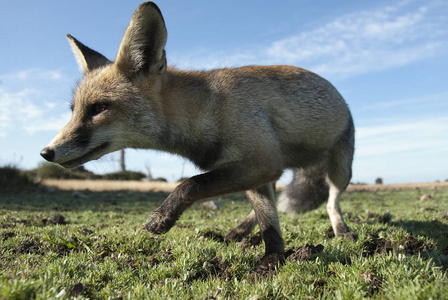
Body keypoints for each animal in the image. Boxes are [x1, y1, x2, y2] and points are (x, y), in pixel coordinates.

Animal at [41, 1, 354, 266]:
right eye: (74, 110)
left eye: (99, 108)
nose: (46, 152)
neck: (208, 110)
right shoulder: (257, 168)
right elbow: (269, 223)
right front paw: (273, 258)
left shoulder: (260, 162)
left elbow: (190, 184)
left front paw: (162, 218)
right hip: (272, 174)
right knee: (271, 207)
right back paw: (240, 231)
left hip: (340, 171)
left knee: (331, 202)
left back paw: (342, 231)